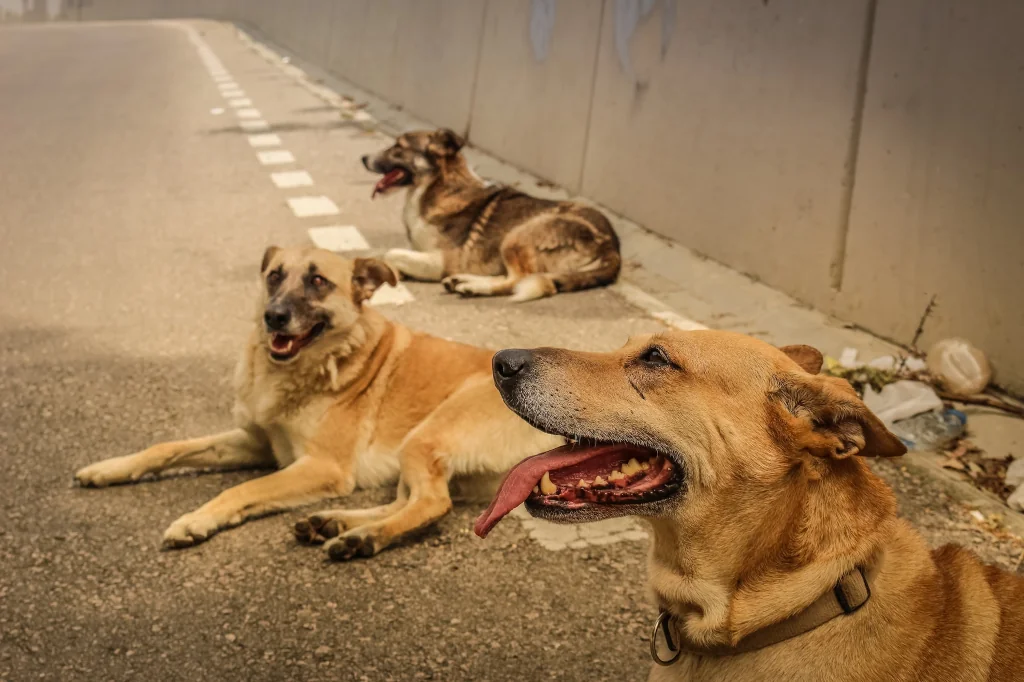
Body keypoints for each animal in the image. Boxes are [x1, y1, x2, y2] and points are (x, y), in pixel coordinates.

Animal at [76, 246, 561, 557]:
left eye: (318, 282)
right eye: (274, 275)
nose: (273, 316)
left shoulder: (321, 466)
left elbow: (243, 488)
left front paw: (196, 520)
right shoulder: (257, 441)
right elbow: (168, 447)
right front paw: (109, 468)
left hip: (425, 435)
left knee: (430, 504)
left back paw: (363, 539)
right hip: (419, 450)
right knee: (410, 499)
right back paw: (336, 523)